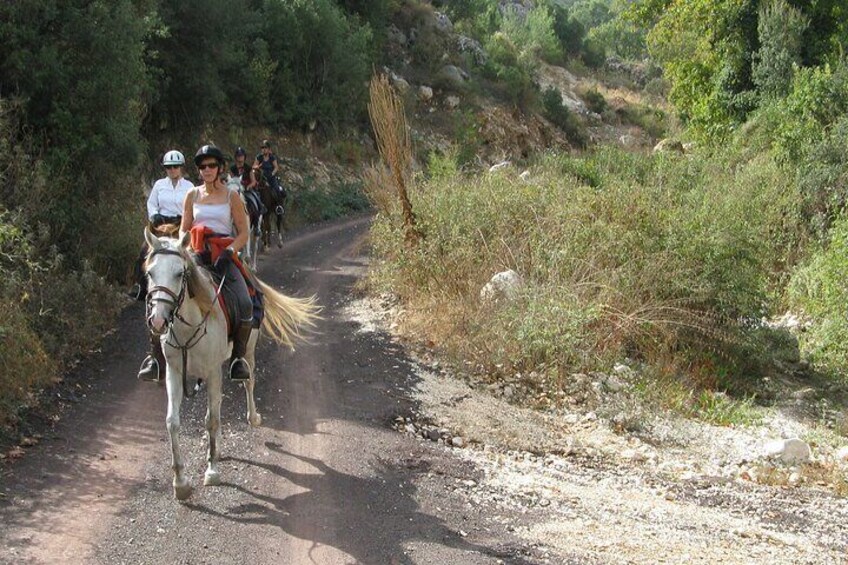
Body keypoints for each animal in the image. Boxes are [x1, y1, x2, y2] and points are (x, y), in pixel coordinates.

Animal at [144, 227, 320, 500]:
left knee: (248, 382)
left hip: (247, 351)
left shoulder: (213, 371)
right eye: (150, 273)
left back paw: (253, 417)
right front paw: (180, 482)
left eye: (179, 273)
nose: (158, 321)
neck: (188, 328)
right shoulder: (175, 372)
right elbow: (173, 422)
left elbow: (211, 419)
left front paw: (212, 471)